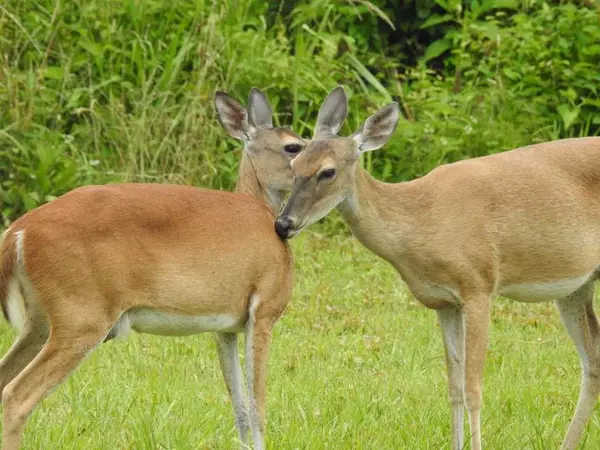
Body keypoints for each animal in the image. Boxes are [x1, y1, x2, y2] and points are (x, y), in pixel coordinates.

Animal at [0, 88, 308, 450]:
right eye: (293, 146)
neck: (262, 212)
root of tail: (18, 233)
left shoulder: (227, 327)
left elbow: (240, 409)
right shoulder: (264, 310)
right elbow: (258, 407)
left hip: (40, 321)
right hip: (81, 318)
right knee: (16, 396)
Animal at [278, 85, 600, 450]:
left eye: (328, 172)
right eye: (294, 162)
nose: (283, 224)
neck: (423, 220)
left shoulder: (478, 285)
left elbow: (473, 388)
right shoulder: (444, 301)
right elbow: (454, 388)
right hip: (576, 287)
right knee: (593, 360)